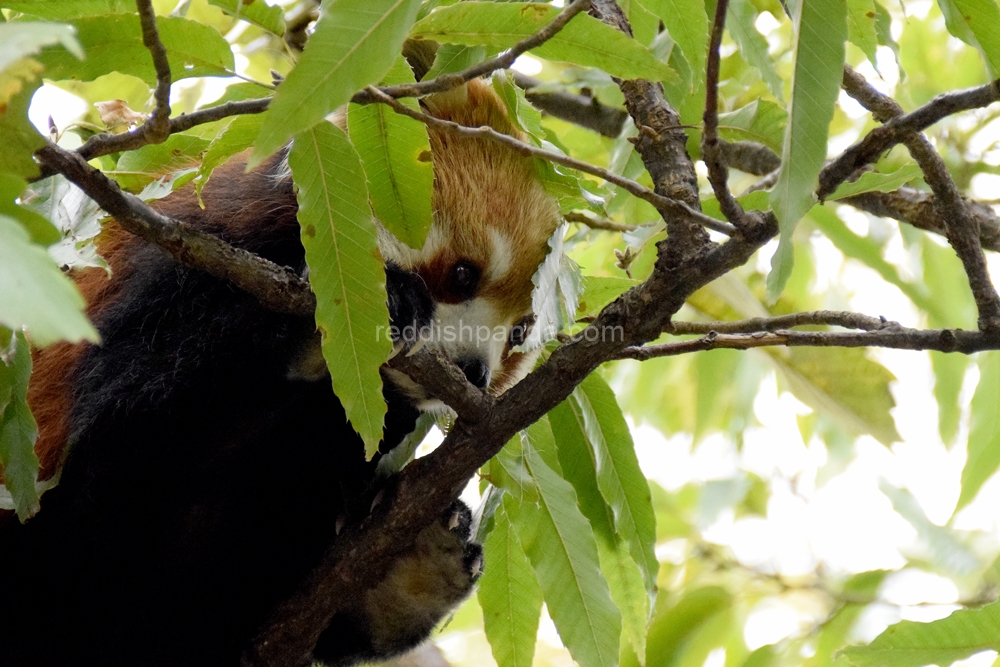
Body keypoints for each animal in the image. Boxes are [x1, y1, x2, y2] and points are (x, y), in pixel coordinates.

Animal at [0, 81, 564, 667]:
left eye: (520, 333)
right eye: (462, 274)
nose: (474, 371)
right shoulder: (181, 255)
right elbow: (129, 414)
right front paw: (362, 309)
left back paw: (415, 572)